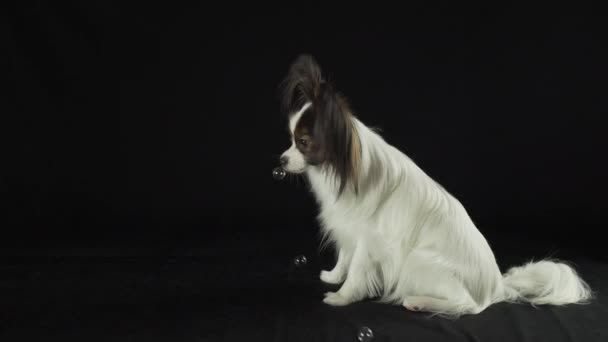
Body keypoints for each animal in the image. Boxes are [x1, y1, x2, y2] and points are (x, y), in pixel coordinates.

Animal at [278, 53, 592, 318]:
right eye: (291, 140)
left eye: (303, 142)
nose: (281, 160)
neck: (340, 169)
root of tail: (496, 287)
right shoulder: (348, 226)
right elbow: (345, 256)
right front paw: (333, 277)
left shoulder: (370, 240)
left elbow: (356, 269)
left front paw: (342, 297)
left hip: (418, 262)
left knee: (469, 305)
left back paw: (418, 302)